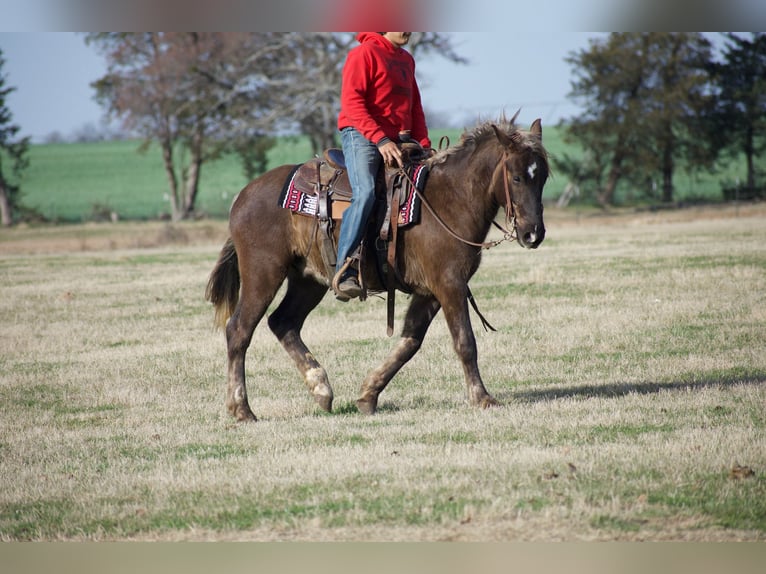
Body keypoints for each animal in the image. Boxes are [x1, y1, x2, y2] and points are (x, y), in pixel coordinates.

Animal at [205, 115, 549, 421]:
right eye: (516, 177)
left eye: (543, 176)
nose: (534, 234)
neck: (450, 199)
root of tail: (242, 196)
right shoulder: (449, 284)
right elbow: (465, 342)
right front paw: (482, 398)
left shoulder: (432, 291)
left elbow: (410, 342)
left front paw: (368, 394)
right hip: (263, 273)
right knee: (239, 330)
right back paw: (242, 409)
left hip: (308, 280)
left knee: (283, 322)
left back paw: (321, 388)